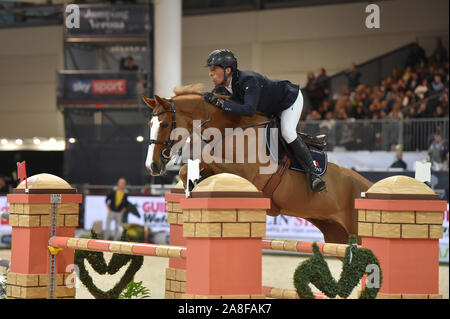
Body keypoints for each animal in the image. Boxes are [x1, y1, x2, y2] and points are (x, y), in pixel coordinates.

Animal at [143, 85, 372, 245]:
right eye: (149, 124)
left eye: (164, 124)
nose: (152, 166)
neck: (231, 129)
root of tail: (367, 186)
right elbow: (191, 168)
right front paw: (192, 184)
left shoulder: (245, 172)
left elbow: (205, 159)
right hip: (336, 235)